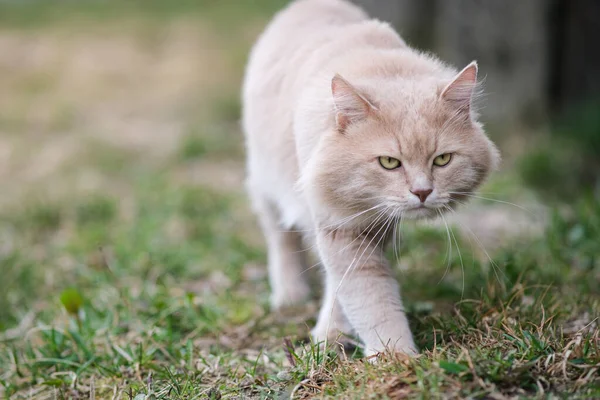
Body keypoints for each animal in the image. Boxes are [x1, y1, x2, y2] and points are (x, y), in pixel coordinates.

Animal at [241, 0, 500, 356]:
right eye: (389, 162)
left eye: (442, 160)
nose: (422, 192)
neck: (384, 68)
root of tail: (308, 5)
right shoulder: (341, 228)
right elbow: (373, 302)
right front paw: (396, 357)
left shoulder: (375, 226)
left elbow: (348, 294)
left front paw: (335, 335)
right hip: (267, 185)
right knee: (281, 239)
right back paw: (291, 296)